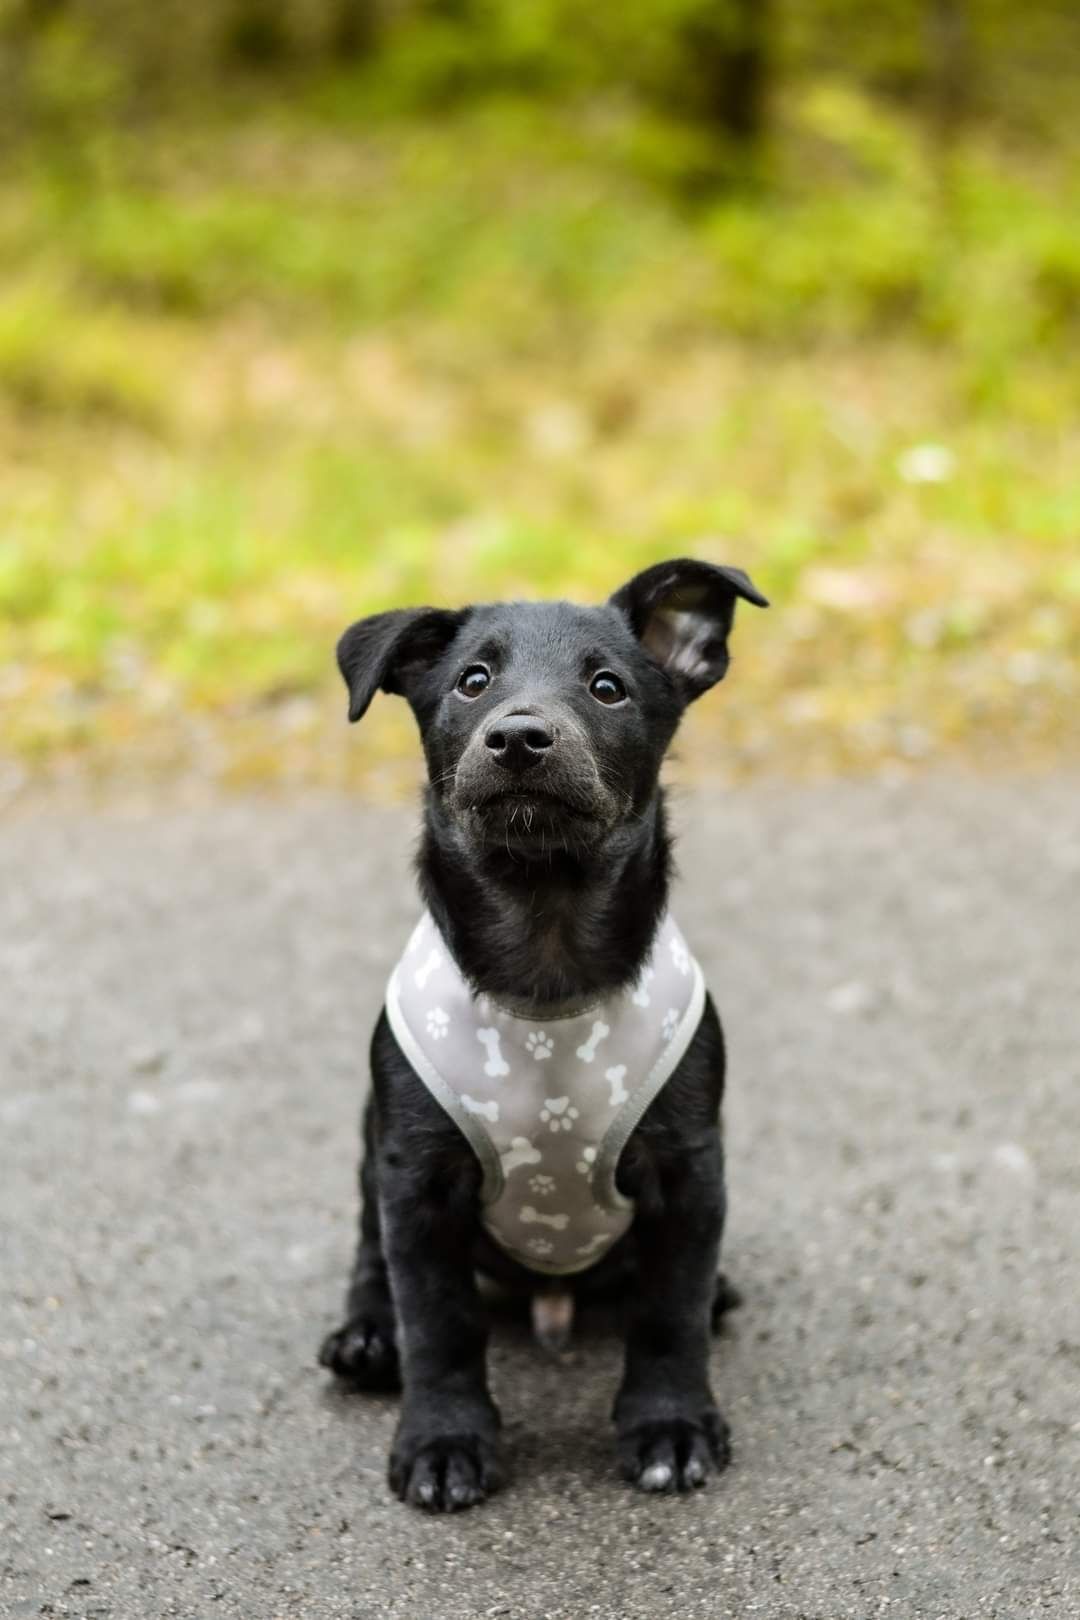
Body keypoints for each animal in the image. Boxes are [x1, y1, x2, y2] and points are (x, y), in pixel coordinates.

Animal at [317, 563, 764, 1509]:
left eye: (608, 687)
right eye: (472, 681)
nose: (519, 737)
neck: (545, 948)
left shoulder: (689, 1169)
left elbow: (669, 1314)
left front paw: (671, 1426)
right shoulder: (416, 1180)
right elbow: (439, 1322)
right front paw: (444, 1443)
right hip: (370, 1145)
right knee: (370, 1257)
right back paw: (366, 1337)